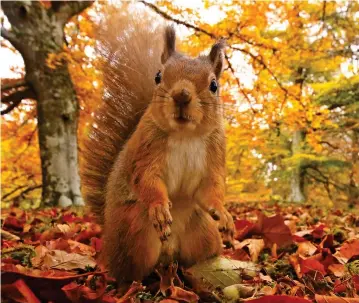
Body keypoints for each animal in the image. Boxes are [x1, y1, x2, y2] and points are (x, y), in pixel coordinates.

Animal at [83, 11, 238, 282]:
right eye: (158, 76)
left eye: (214, 85)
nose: (181, 95)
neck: (185, 135)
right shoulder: (146, 149)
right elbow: (146, 179)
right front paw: (158, 207)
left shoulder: (215, 152)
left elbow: (210, 190)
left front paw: (224, 213)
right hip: (135, 234)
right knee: (129, 273)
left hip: (204, 231)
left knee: (194, 257)